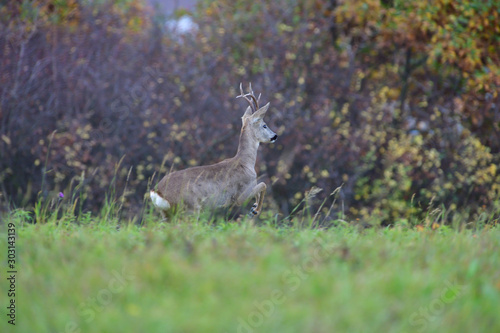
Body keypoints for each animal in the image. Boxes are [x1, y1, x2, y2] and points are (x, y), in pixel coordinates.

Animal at [150, 83, 280, 218]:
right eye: (264, 125)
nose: (275, 136)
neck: (245, 162)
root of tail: (157, 192)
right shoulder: (241, 194)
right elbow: (263, 185)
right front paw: (256, 210)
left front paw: (254, 207)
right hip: (190, 208)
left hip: (167, 213)